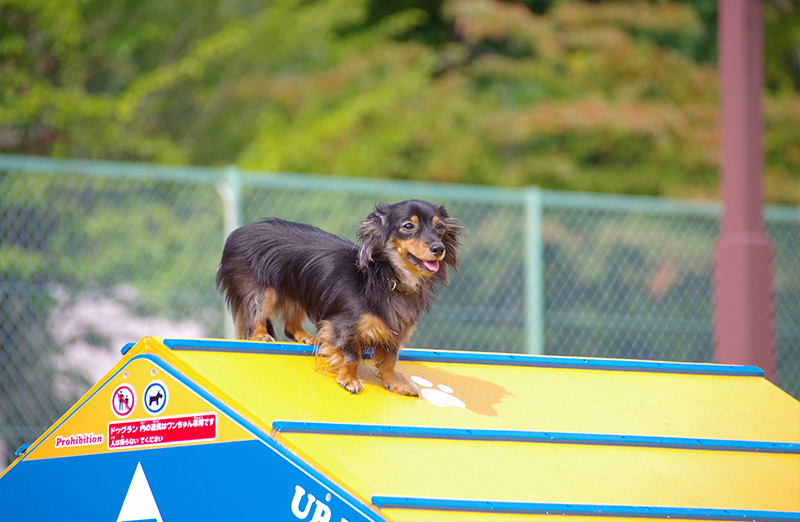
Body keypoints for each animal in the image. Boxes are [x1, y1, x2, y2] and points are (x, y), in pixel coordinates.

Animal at [217, 199, 462, 394]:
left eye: (439, 226)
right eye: (408, 226)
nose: (438, 249)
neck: (386, 277)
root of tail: (238, 232)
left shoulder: (393, 332)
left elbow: (389, 360)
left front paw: (395, 383)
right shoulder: (343, 326)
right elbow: (351, 355)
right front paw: (350, 380)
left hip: (298, 290)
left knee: (290, 325)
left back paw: (306, 337)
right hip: (261, 290)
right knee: (256, 314)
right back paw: (261, 335)